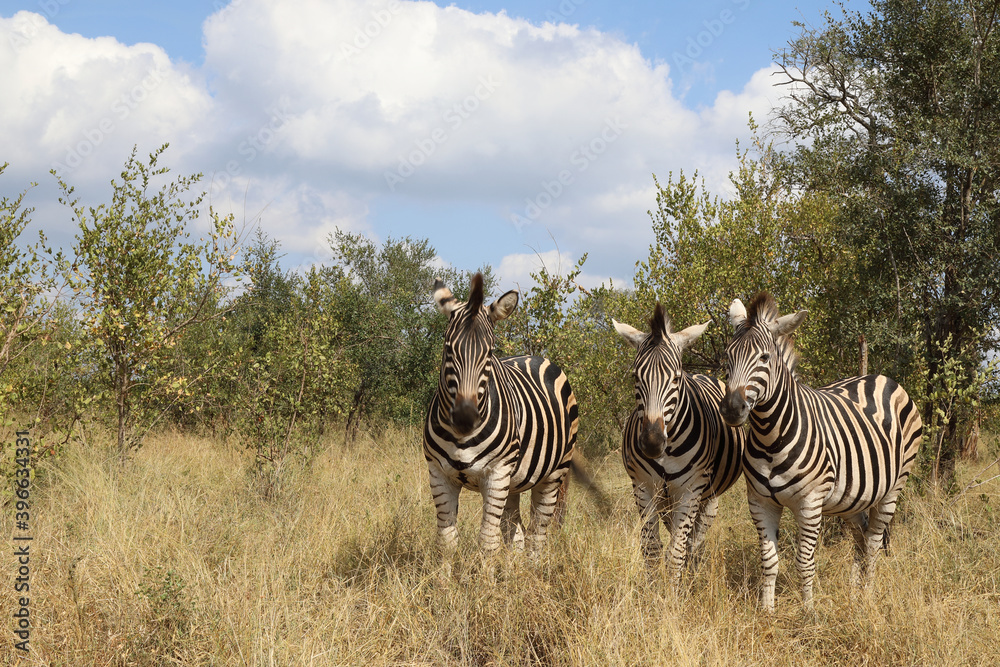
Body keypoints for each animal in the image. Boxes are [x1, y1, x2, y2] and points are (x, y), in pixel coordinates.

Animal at [424, 273, 579, 572]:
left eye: (489, 352)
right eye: (448, 349)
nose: (465, 418)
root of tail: (534, 356)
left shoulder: (496, 474)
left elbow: (488, 542)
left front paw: (485, 583)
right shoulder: (438, 475)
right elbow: (446, 543)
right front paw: (442, 583)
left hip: (553, 473)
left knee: (538, 532)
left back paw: (532, 573)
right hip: (514, 481)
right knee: (515, 531)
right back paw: (513, 573)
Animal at [614, 304, 745, 587]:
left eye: (675, 379)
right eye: (635, 377)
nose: (652, 443)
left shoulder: (691, 490)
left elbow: (677, 551)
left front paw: (675, 594)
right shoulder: (644, 488)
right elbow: (652, 548)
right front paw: (654, 592)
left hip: (708, 498)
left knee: (695, 541)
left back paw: (691, 577)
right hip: (667, 500)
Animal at [719, 292, 922, 611]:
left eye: (764, 357)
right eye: (727, 356)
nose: (731, 409)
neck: (770, 436)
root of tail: (880, 377)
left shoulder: (810, 503)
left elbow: (804, 562)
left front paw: (808, 611)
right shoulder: (760, 502)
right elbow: (769, 561)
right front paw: (767, 611)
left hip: (894, 487)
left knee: (874, 542)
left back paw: (867, 595)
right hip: (853, 497)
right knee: (861, 536)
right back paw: (853, 591)